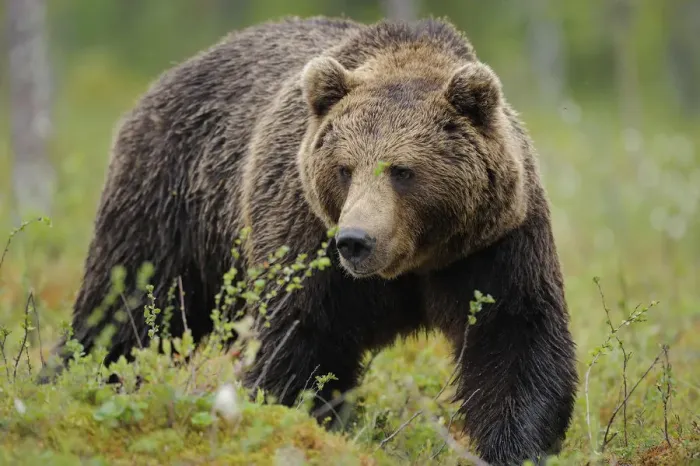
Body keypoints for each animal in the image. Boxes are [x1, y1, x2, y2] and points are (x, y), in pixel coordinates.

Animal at [47, 15, 578, 465]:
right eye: (344, 168)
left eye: (402, 171)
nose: (356, 240)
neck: (412, 263)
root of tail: (169, 76)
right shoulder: (305, 237)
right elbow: (298, 342)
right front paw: (289, 420)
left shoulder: (494, 243)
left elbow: (514, 338)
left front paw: (513, 446)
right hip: (171, 201)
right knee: (123, 308)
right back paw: (69, 378)